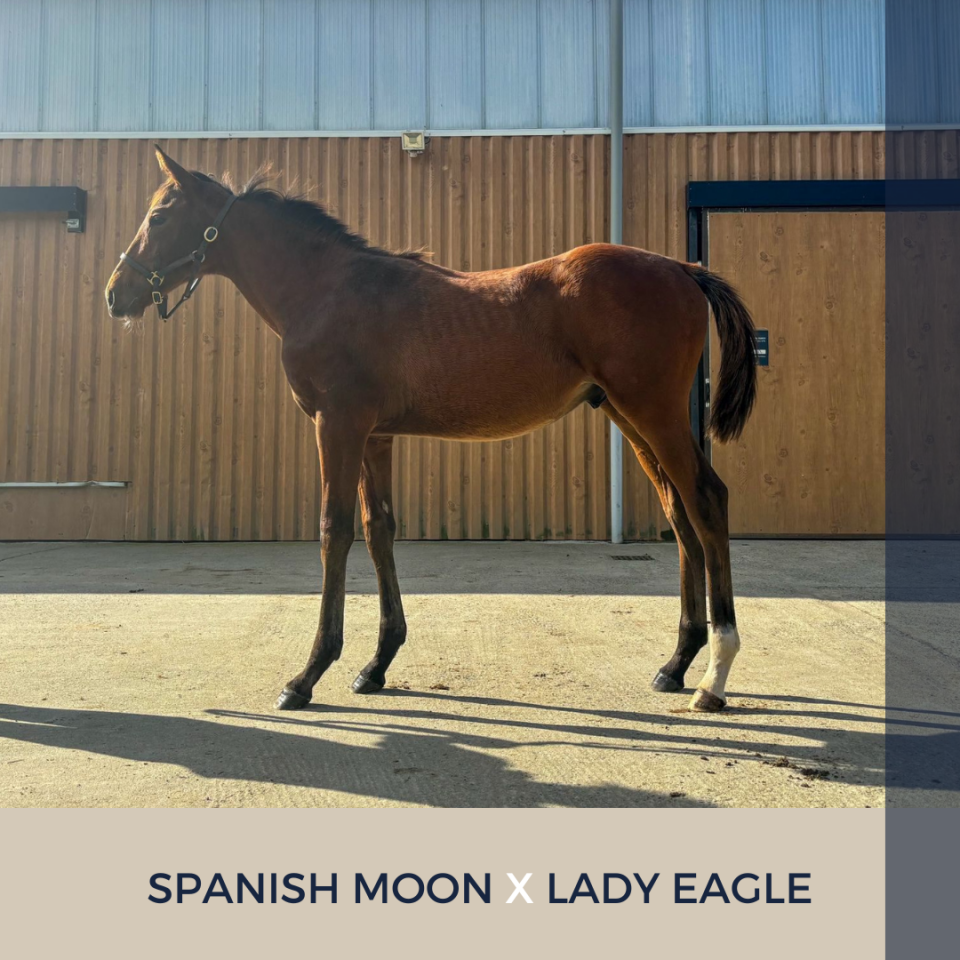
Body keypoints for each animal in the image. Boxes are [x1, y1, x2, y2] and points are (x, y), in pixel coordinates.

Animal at [106, 147, 757, 714]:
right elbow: (379, 530)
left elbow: (334, 531)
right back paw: (676, 664)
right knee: (679, 513)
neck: (325, 289)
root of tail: (682, 267)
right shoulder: (375, 436)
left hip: (654, 412)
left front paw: (308, 675)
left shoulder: (338, 425)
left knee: (707, 500)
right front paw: (376, 664)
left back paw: (715, 675)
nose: (116, 294)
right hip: (629, 416)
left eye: (159, 216)